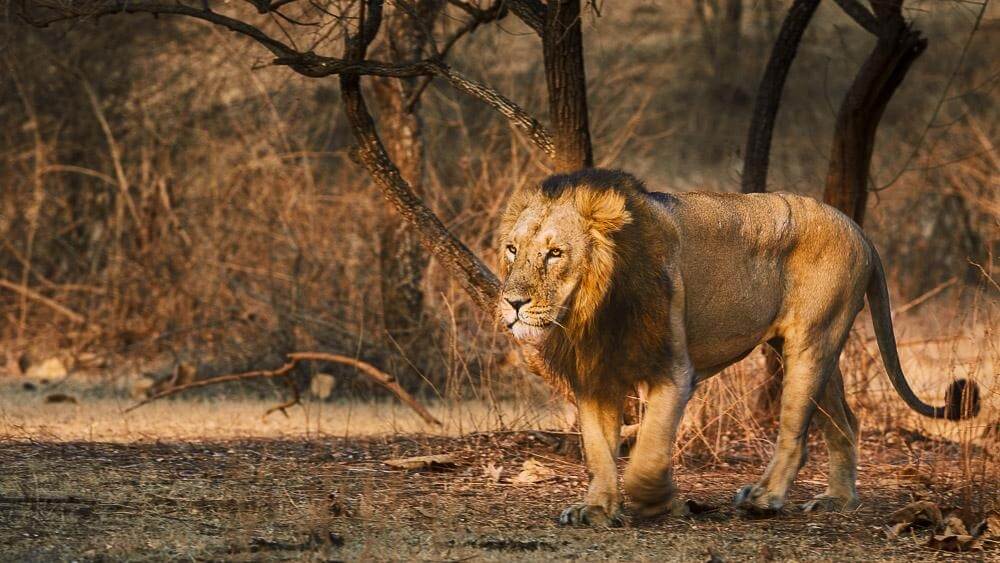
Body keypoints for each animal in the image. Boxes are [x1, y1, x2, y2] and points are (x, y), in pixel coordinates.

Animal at [497, 168, 980, 526]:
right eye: (512, 249)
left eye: (555, 253)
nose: (513, 303)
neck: (592, 311)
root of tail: (859, 230)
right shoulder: (596, 375)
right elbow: (599, 450)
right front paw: (597, 508)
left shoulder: (674, 371)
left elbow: (649, 452)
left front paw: (658, 500)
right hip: (815, 354)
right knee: (846, 423)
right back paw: (838, 500)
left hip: (810, 344)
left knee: (795, 435)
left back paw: (763, 498)